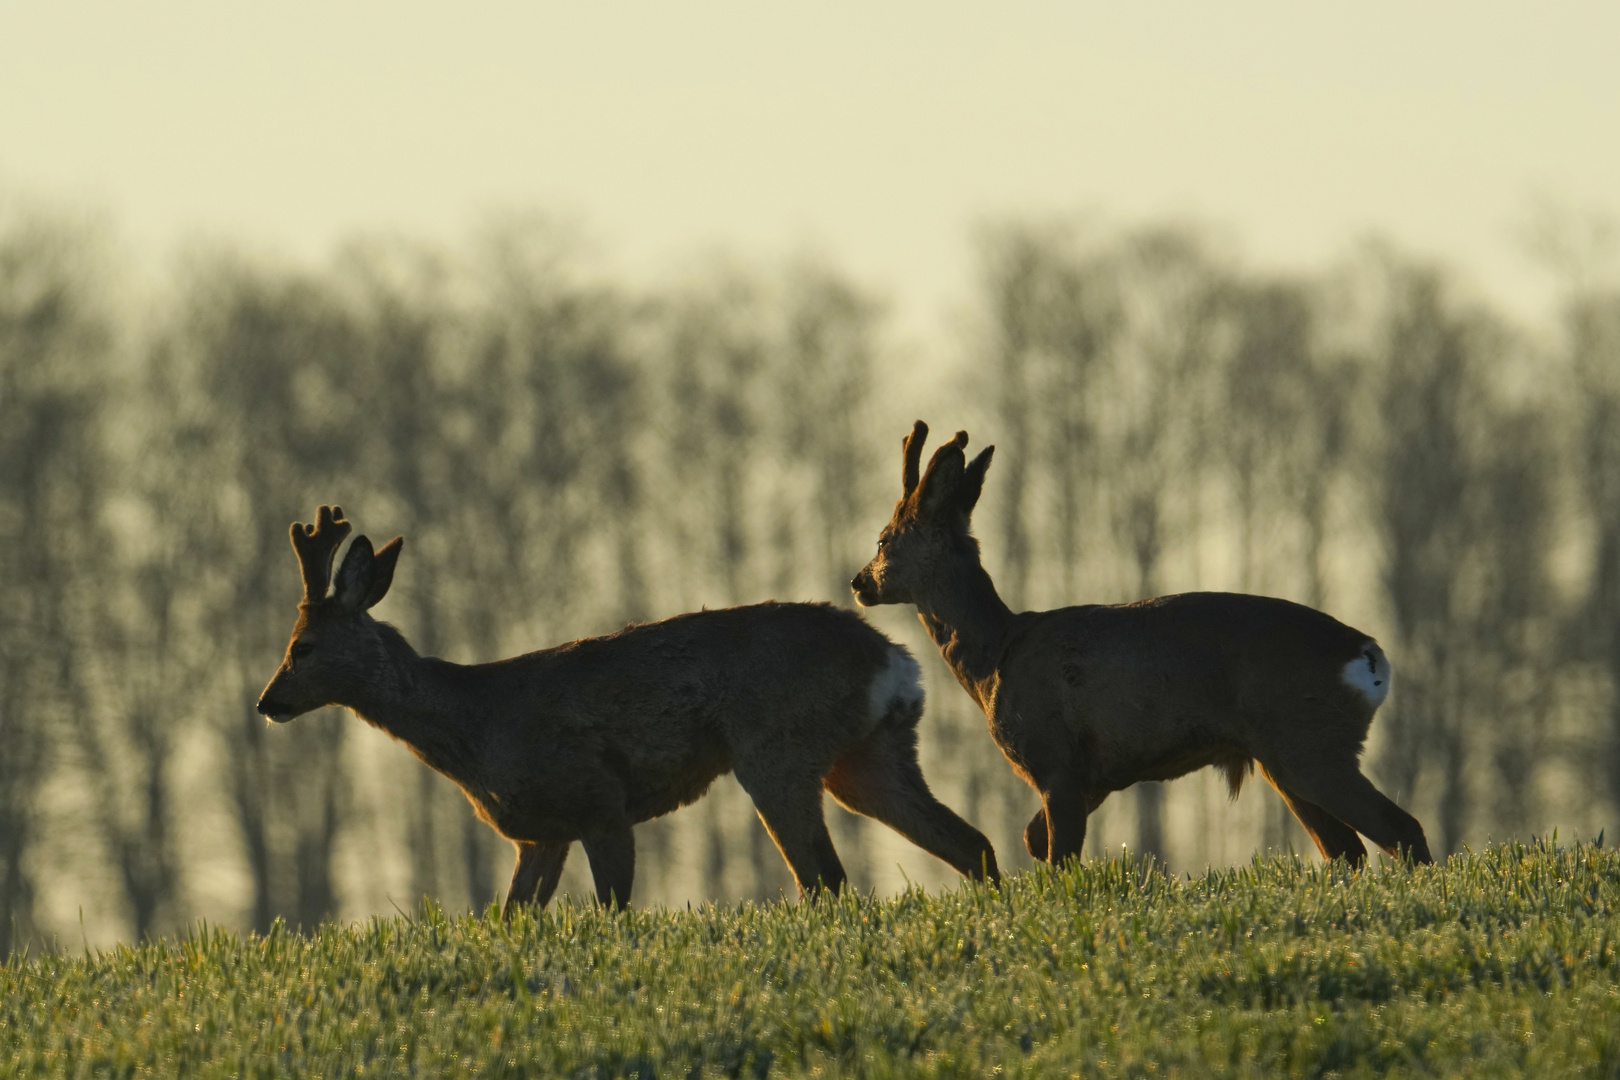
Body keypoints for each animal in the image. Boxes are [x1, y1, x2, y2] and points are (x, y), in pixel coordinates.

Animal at [257, 505, 991, 913]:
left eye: (301, 646)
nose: (267, 702)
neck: (476, 726)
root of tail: (895, 662)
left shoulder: (598, 801)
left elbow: (614, 912)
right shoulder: (540, 831)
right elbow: (509, 917)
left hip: (778, 752)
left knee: (826, 878)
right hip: (869, 755)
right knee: (970, 843)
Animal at [848, 420, 1432, 867]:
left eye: (882, 538)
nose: (858, 583)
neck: (996, 657)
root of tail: (1369, 656)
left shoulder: (1055, 759)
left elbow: (1057, 856)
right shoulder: (1099, 774)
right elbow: (1034, 840)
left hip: (1308, 743)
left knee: (1400, 828)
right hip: (1283, 758)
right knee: (1347, 848)